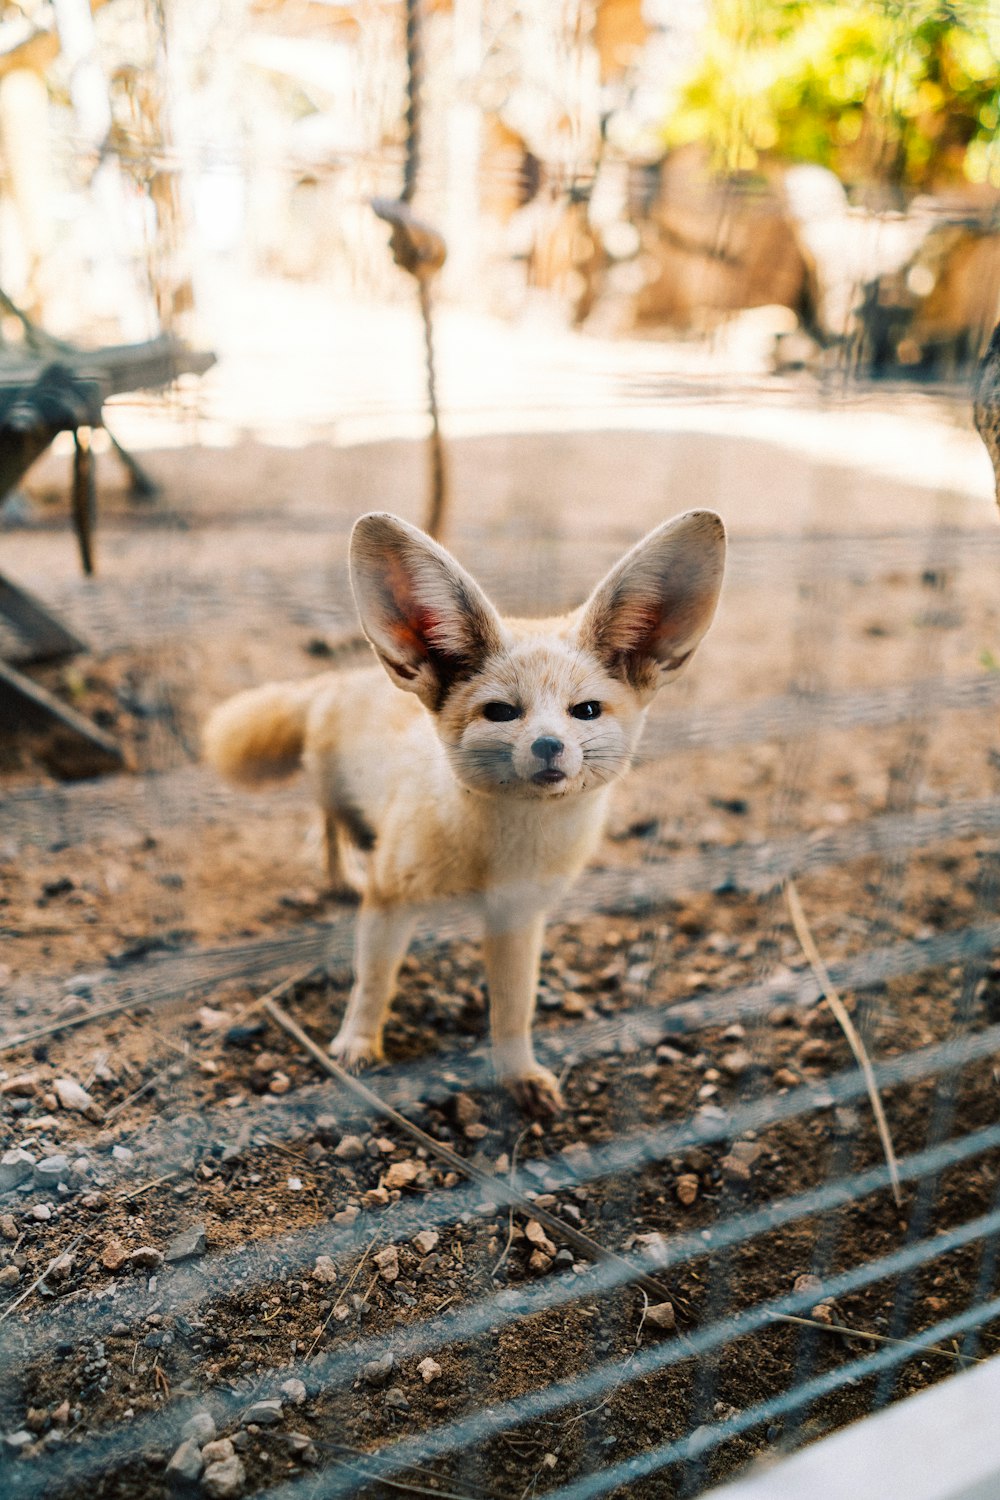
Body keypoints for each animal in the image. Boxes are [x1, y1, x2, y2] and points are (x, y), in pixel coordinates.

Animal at [203, 513, 722, 1116]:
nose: (549, 746)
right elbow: (372, 983)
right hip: (340, 802)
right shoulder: (391, 899)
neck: (497, 856)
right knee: (331, 828)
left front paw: (520, 1075)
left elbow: (515, 1010)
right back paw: (342, 875)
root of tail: (343, 677)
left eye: (585, 710)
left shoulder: (518, 917)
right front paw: (356, 1044)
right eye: (501, 712)